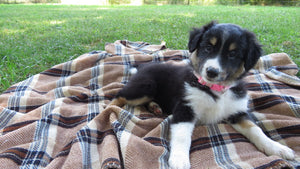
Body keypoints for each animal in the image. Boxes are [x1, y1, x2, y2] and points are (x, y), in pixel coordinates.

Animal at [109, 21, 294, 169]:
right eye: (208, 48)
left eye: (233, 54)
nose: (211, 71)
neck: (217, 89)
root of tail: (143, 67)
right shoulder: (185, 109)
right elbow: (182, 136)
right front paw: (179, 160)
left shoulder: (238, 112)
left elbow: (256, 130)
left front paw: (277, 148)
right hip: (145, 87)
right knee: (118, 96)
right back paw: (107, 110)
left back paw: (155, 107)